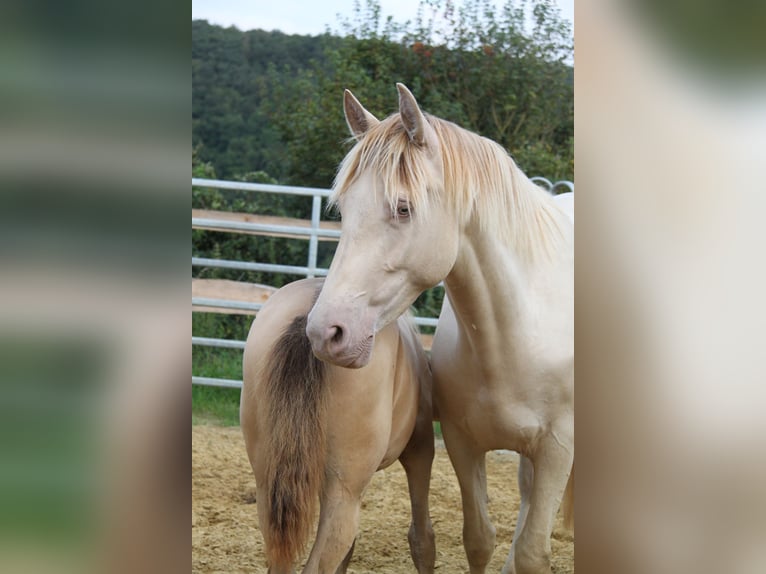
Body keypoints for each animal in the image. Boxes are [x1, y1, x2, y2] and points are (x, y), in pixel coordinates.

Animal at [308, 85, 576, 574]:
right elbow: (480, 539)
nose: (325, 332)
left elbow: (532, 551)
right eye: (343, 209)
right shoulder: (463, 443)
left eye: (403, 208)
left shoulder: (557, 449)